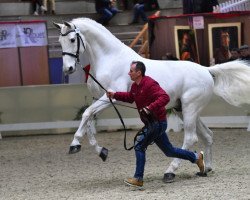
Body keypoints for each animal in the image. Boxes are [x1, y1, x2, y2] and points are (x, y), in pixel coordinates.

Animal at [54, 18, 250, 182]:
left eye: (72, 39)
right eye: (60, 41)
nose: (68, 69)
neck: (111, 59)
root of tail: (207, 70)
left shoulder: (110, 97)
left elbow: (86, 114)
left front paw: (74, 144)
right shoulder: (99, 98)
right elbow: (88, 122)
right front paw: (100, 151)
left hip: (190, 108)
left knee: (191, 138)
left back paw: (170, 171)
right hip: (182, 109)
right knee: (207, 136)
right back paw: (206, 168)